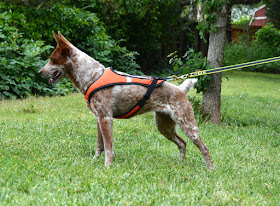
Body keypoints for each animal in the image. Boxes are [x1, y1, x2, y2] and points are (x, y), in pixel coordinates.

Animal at [39, 31, 213, 169]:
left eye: (52, 59)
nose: (40, 72)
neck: (92, 76)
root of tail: (181, 89)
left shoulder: (105, 118)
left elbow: (108, 147)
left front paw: (107, 165)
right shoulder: (98, 118)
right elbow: (99, 145)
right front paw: (95, 160)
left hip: (187, 124)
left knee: (204, 148)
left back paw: (210, 169)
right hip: (164, 125)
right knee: (182, 143)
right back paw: (181, 164)